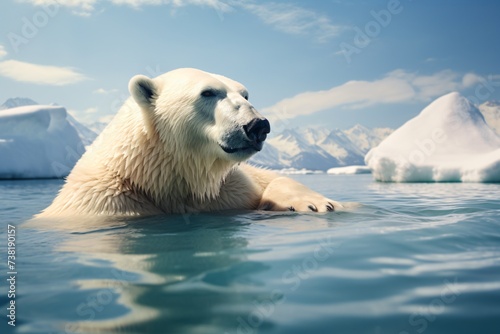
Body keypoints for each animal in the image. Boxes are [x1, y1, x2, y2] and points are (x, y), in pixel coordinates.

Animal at [39, 69, 342, 218]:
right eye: (208, 92)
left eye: (245, 94)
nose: (258, 126)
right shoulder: (105, 202)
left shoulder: (229, 189)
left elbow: (268, 179)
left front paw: (314, 203)